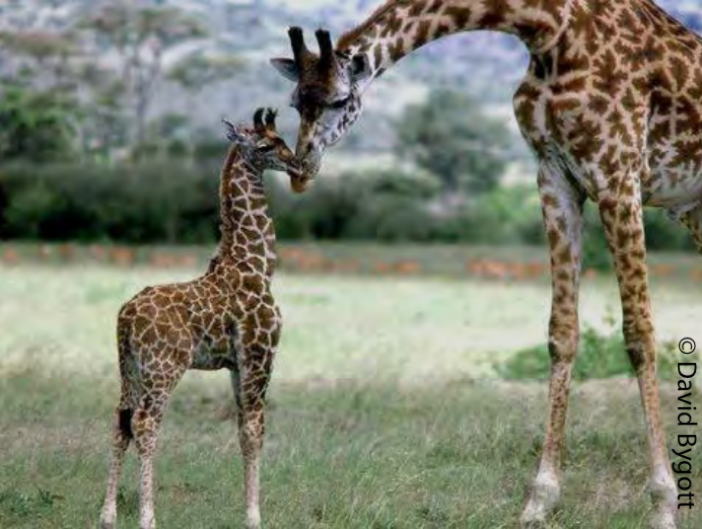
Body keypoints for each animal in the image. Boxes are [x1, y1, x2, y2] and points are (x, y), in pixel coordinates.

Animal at [98, 108, 296, 528]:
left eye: (284, 139)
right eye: (265, 145)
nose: (296, 163)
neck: (259, 265)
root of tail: (125, 317)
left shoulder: (236, 364)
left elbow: (241, 427)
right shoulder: (261, 356)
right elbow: (255, 429)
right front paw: (254, 516)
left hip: (128, 367)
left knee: (121, 421)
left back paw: (107, 514)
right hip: (163, 368)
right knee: (145, 423)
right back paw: (147, 517)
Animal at [270, 1, 702, 528]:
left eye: (337, 100)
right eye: (296, 102)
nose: (300, 171)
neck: (547, 29)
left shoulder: (618, 175)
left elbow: (639, 332)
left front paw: (664, 502)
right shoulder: (555, 176)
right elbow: (562, 333)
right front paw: (540, 499)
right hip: (695, 209)